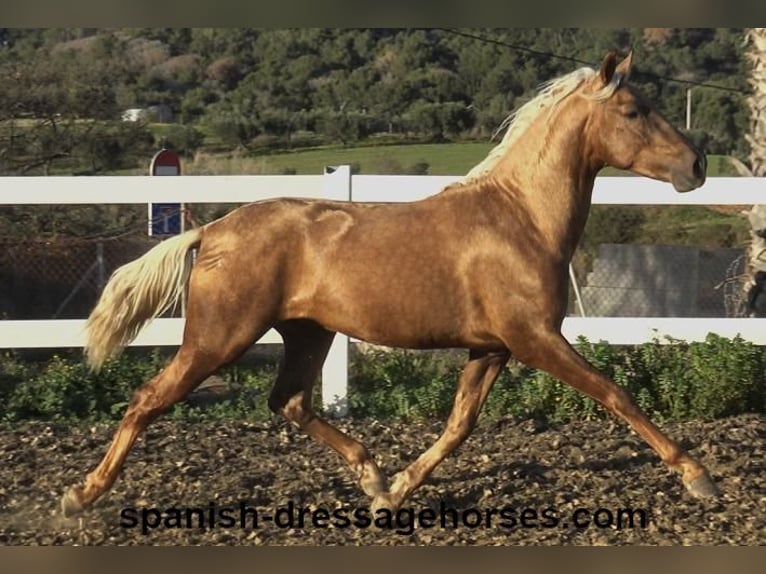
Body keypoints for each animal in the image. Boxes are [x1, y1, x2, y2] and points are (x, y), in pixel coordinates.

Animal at [61, 54, 720, 520]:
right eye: (632, 111)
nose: (697, 166)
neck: (520, 218)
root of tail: (213, 230)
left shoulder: (492, 347)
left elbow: (459, 425)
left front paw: (397, 490)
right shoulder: (535, 339)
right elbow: (617, 394)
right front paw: (699, 476)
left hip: (308, 334)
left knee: (290, 402)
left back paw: (371, 473)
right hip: (219, 338)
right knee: (149, 399)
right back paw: (81, 496)